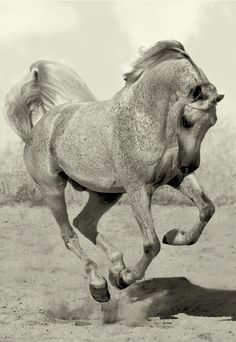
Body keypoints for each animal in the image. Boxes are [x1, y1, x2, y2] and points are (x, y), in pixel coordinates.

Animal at [4, 40, 224, 302]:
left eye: (211, 123)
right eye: (187, 121)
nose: (189, 165)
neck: (145, 117)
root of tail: (41, 124)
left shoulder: (175, 178)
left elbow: (207, 209)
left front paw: (174, 235)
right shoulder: (138, 189)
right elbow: (151, 244)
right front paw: (125, 279)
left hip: (105, 194)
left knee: (84, 222)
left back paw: (115, 267)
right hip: (53, 190)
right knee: (69, 235)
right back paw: (99, 283)